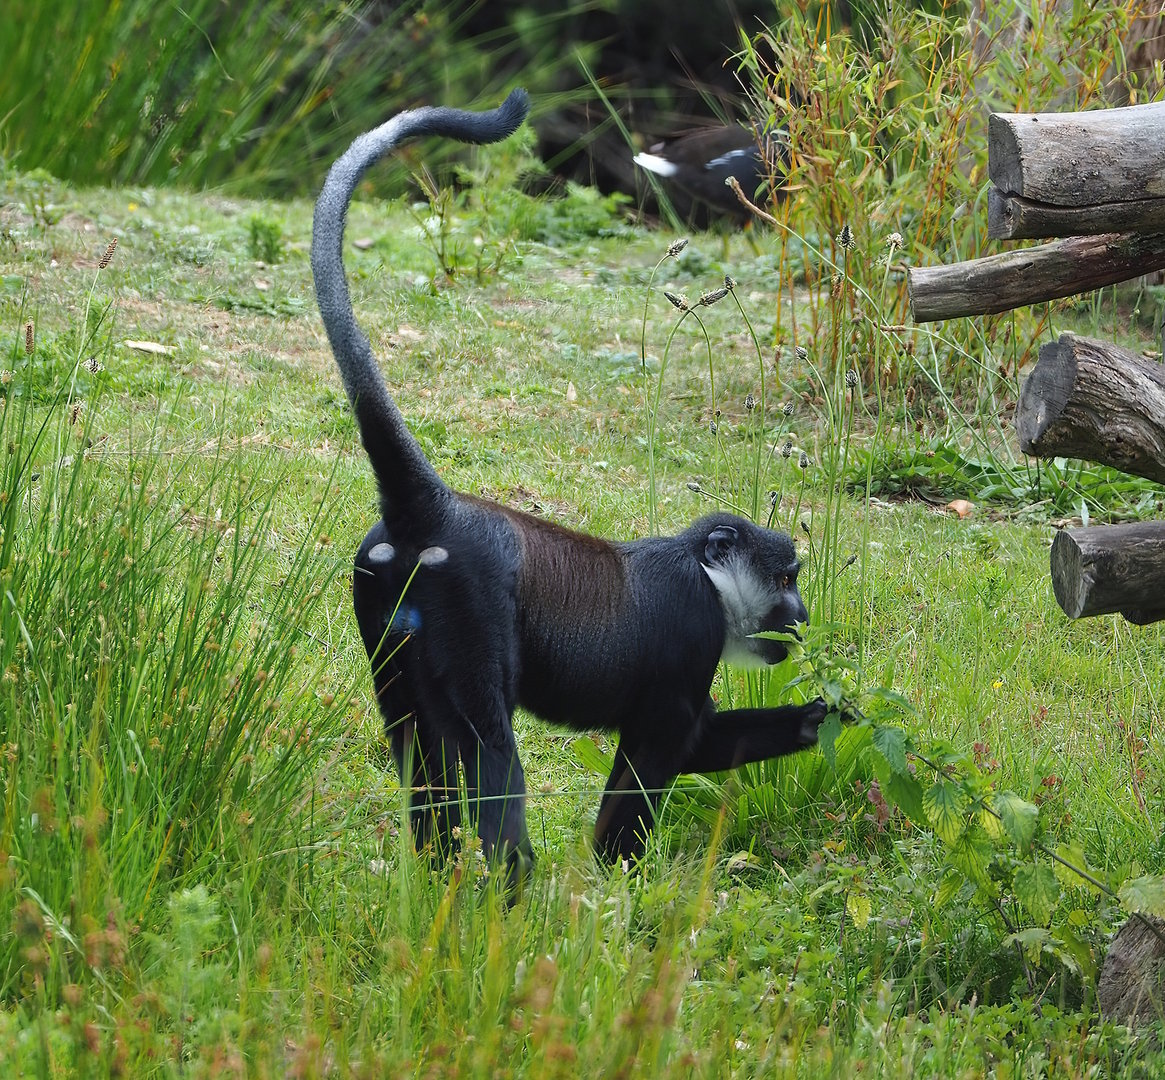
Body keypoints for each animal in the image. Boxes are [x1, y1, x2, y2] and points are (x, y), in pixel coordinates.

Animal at [311, 89, 830, 886]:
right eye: (784, 578)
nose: (799, 614)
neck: (706, 575)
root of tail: (429, 510)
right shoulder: (692, 630)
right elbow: (653, 757)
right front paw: (615, 889)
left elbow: (701, 742)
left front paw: (819, 719)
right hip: (467, 623)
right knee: (485, 750)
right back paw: (514, 885)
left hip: (384, 615)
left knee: (420, 755)